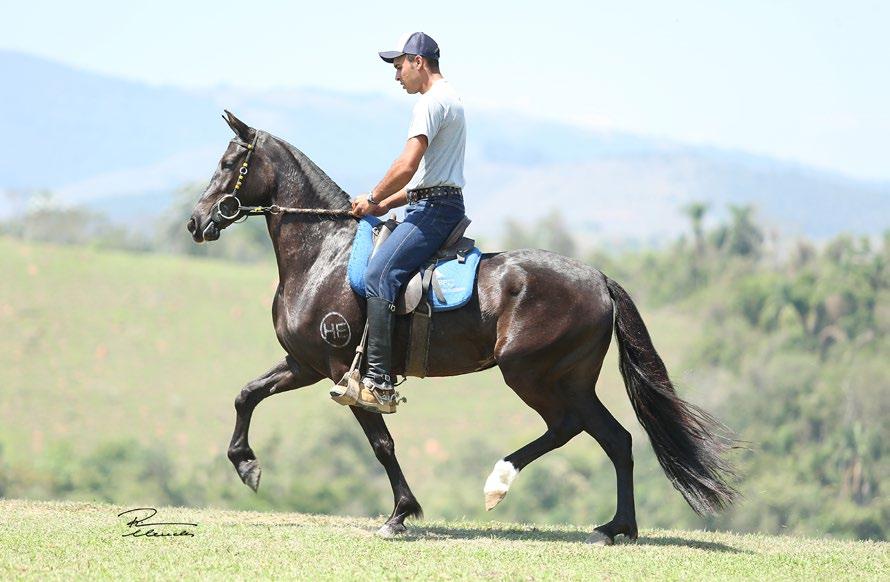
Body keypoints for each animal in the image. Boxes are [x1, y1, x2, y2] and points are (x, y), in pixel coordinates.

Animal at [186, 110, 736, 548]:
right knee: (613, 438)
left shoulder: (343, 370)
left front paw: (400, 514)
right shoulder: (305, 363)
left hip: (532, 373)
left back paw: (503, 484)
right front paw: (246, 463)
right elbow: (247, 394)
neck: (324, 252)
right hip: (568, 377)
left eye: (228, 165)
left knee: (574, 427)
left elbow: (381, 443)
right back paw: (616, 527)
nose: (195, 222)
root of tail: (600, 279)